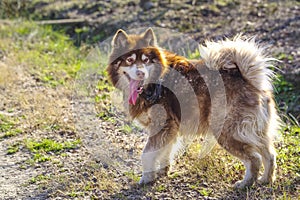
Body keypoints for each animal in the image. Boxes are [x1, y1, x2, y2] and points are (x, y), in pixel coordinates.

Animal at [106, 28, 280, 189]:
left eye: (146, 60)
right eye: (129, 60)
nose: (141, 73)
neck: (155, 82)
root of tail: (249, 80)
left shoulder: (162, 126)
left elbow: (147, 154)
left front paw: (146, 178)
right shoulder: (170, 129)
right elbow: (165, 152)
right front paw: (163, 171)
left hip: (227, 133)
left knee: (255, 159)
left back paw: (245, 183)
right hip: (254, 132)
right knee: (269, 155)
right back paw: (266, 179)